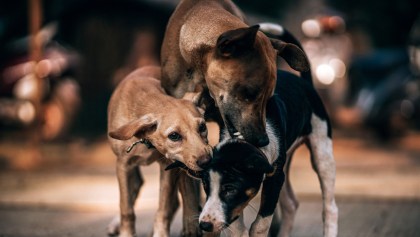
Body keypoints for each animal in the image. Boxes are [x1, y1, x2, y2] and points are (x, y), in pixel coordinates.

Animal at [106, 65, 212, 237]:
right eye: (174, 136)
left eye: (202, 127)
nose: (207, 161)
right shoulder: (123, 165)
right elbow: (126, 207)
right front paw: (126, 233)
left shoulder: (167, 166)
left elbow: (164, 208)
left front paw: (160, 233)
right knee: (135, 187)